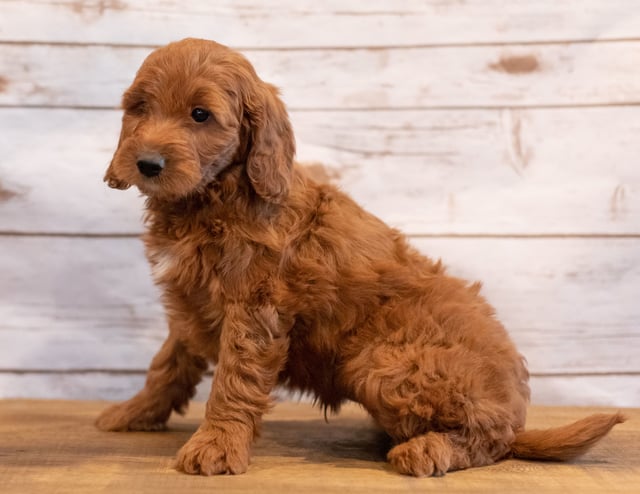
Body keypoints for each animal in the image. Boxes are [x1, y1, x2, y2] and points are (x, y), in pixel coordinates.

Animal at [96, 36, 624, 476]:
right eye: (139, 108)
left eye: (200, 115)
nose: (147, 164)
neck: (212, 199)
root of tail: (518, 416)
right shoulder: (192, 299)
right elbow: (168, 362)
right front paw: (134, 411)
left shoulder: (253, 307)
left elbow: (234, 378)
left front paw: (217, 446)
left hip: (381, 362)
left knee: (490, 439)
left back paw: (427, 448)